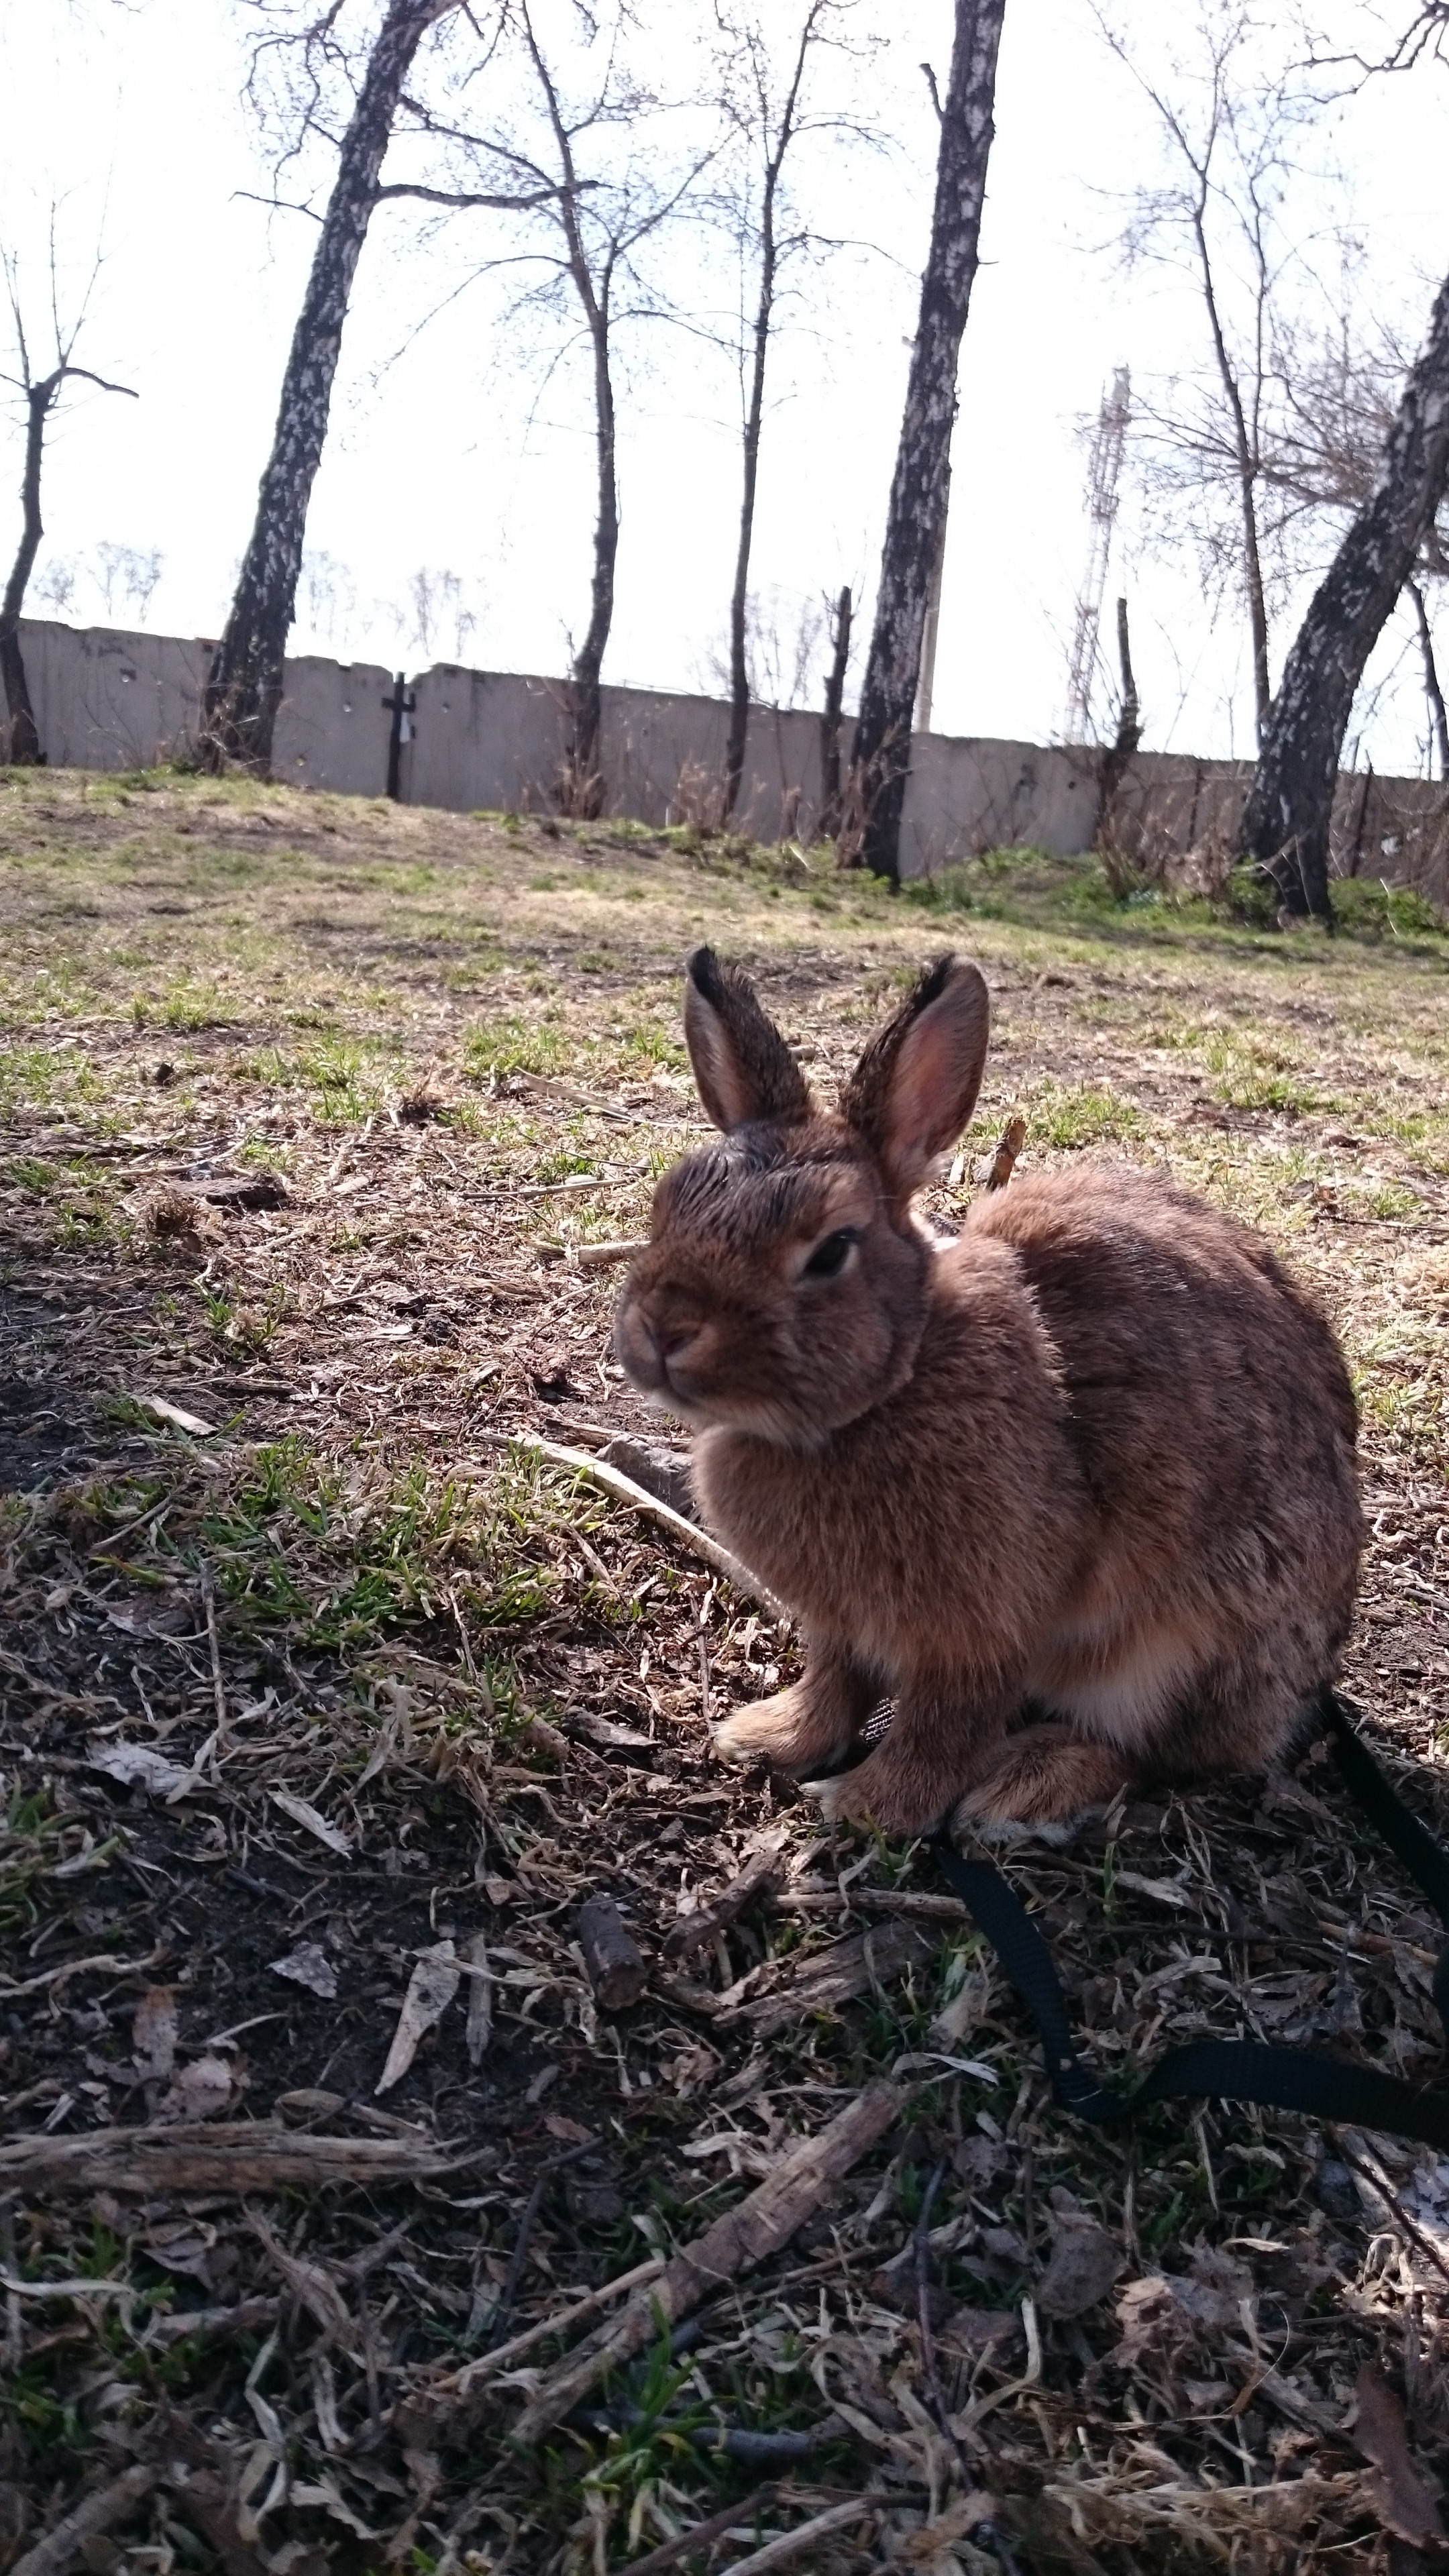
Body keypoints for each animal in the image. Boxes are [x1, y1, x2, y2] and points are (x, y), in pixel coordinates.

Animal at [613, 948, 1361, 1834]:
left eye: (830, 1251)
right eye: (667, 1203)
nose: (664, 1328)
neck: (893, 1386)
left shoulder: (982, 1625)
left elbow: (944, 1724)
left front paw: (868, 1806)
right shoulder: (843, 1624)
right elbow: (836, 1683)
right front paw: (770, 1738)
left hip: (1180, 1653)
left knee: (1150, 1754)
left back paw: (1024, 1785)